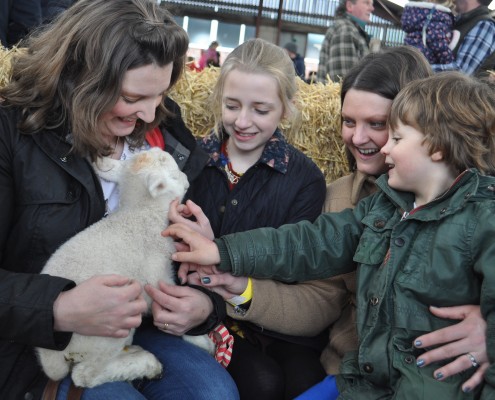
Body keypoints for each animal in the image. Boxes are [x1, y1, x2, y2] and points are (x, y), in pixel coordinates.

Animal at [36, 147, 215, 388]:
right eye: (174, 176)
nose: (187, 180)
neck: (140, 214)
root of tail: (50, 357)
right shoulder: (158, 275)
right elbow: (172, 304)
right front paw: (200, 340)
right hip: (109, 330)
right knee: (84, 374)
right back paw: (147, 364)